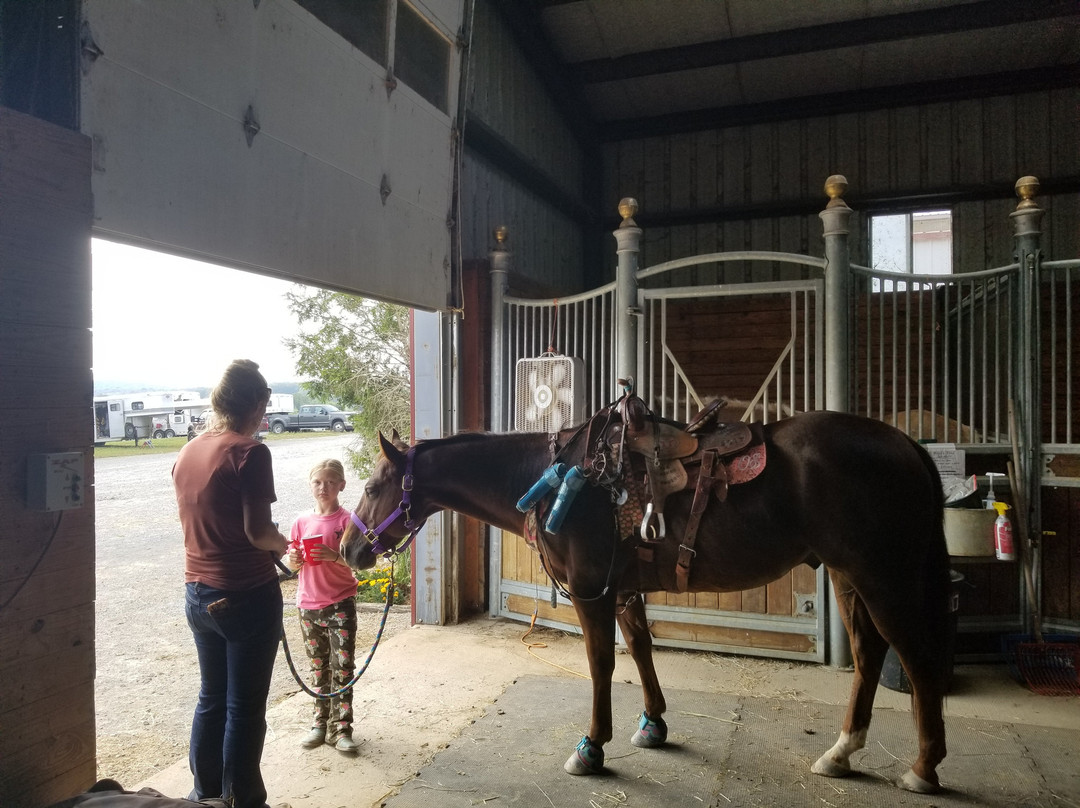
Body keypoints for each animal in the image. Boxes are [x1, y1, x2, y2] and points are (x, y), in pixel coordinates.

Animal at [340, 403, 952, 794]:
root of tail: (904, 444)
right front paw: (652, 724)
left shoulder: (593, 589)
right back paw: (841, 752)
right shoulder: (625, 588)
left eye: (371, 487)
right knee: (870, 655)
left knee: (918, 660)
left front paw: (592, 747)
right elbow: (639, 649)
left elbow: (601, 662)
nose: (350, 549)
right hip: (848, 576)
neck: (557, 477)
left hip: (882, 578)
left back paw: (923, 768)